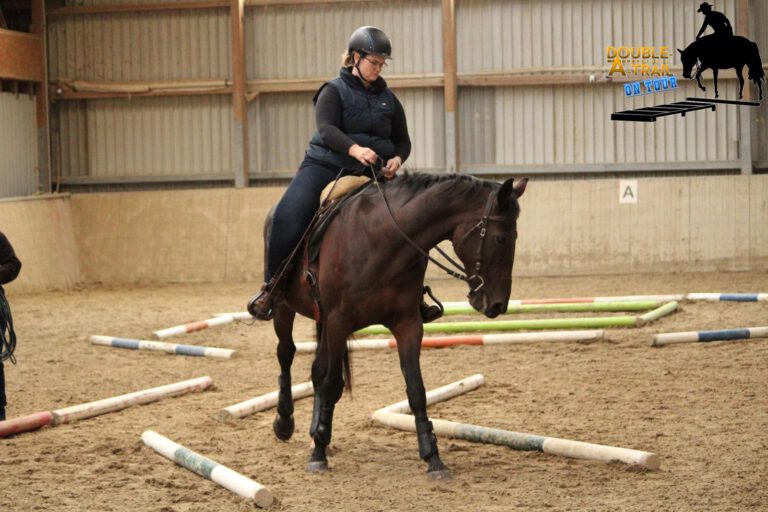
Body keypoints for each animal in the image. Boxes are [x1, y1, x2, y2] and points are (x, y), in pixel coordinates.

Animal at [260, 173, 524, 480]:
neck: (383, 239)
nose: (497, 305)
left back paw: (315, 431)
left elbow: (416, 390)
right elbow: (331, 383)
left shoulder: (407, 324)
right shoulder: (338, 321)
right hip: (284, 307)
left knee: (316, 369)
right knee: (286, 353)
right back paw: (284, 423)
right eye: (500, 238)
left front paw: (433, 458)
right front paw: (317, 455)